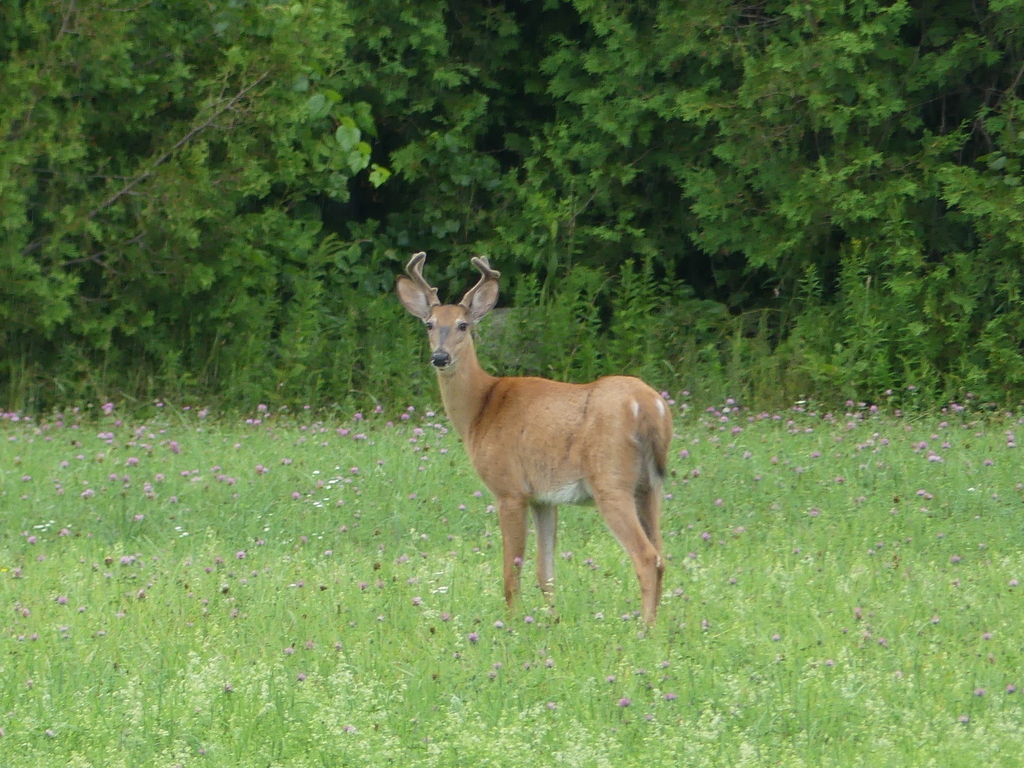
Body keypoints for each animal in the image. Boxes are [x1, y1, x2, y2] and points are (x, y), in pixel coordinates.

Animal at [396, 252, 672, 624]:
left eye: (463, 325)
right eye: (429, 324)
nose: (440, 357)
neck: (480, 408)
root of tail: (648, 405)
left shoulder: (509, 489)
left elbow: (511, 570)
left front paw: (512, 621)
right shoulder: (544, 497)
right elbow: (546, 572)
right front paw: (551, 619)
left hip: (611, 481)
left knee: (646, 556)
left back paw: (644, 629)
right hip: (651, 486)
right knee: (661, 555)